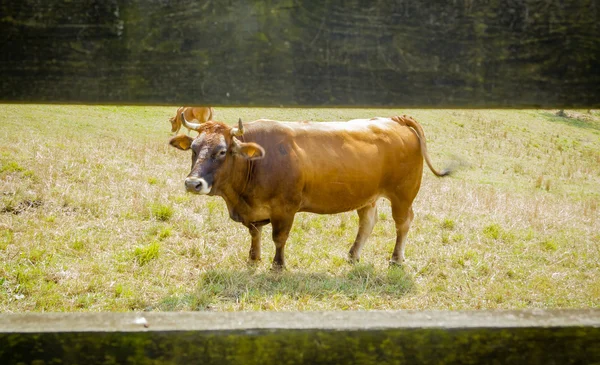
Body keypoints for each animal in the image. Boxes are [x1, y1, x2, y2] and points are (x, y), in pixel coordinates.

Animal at [169, 115, 450, 268]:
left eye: (222, 151)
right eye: (193, 148)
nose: (192, 183)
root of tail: (394, 119)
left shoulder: (285, 208)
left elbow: (279, 238)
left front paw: (277, 266)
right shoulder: (253, 210)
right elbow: (255, 234)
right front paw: (253, 259)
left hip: (403, 195)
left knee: (403, 223)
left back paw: (395, 258)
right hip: (367, 196)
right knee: (368, 222)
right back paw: (353, 255)